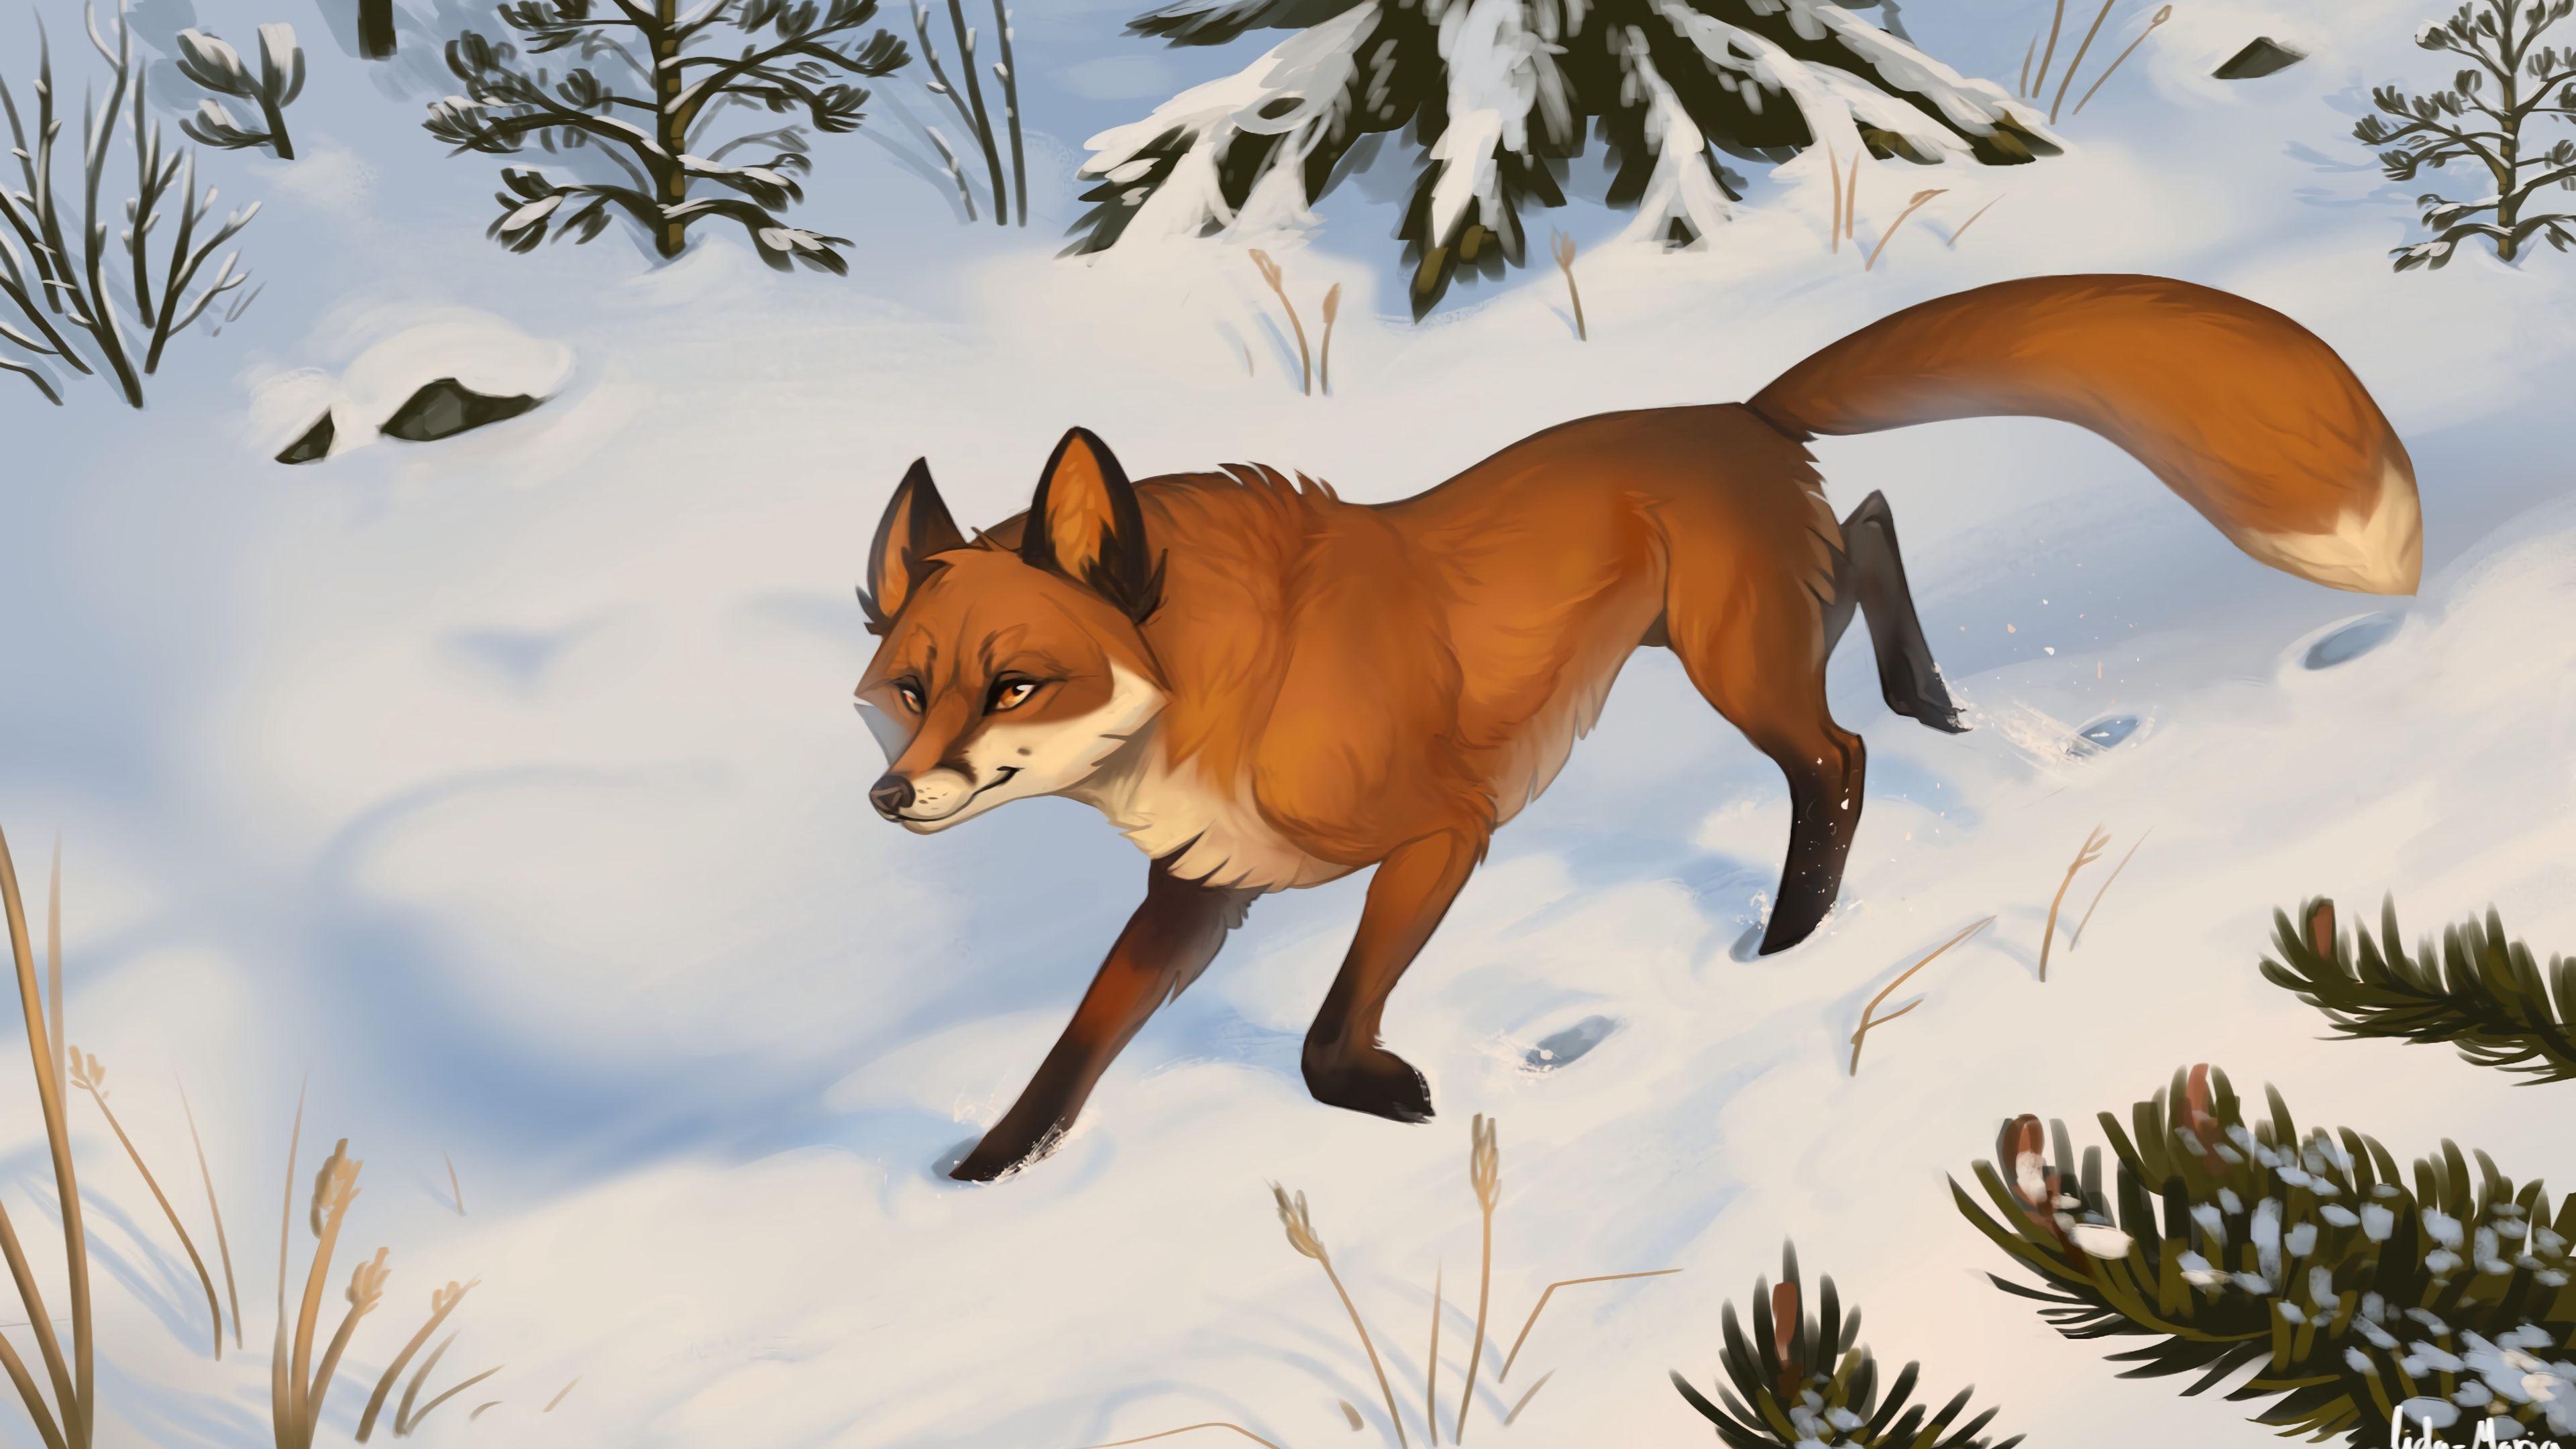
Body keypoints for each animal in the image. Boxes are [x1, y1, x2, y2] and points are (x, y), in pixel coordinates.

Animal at [853, 273, 2421, 1183]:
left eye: (1014, 685)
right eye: (907, 694)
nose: (892, 803)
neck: (1237, 678)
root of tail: (1740, 406)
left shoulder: (1446, 831)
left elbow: (1322, 1033)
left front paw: (1388, 1097)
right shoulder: (1198, 891)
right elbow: (1074, 1048)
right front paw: (979, 1179)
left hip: (1737, 669)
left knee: (1838, 760)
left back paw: (1788, 938)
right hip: (1744, 634)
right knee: (1869, 530)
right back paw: (1926, 695)